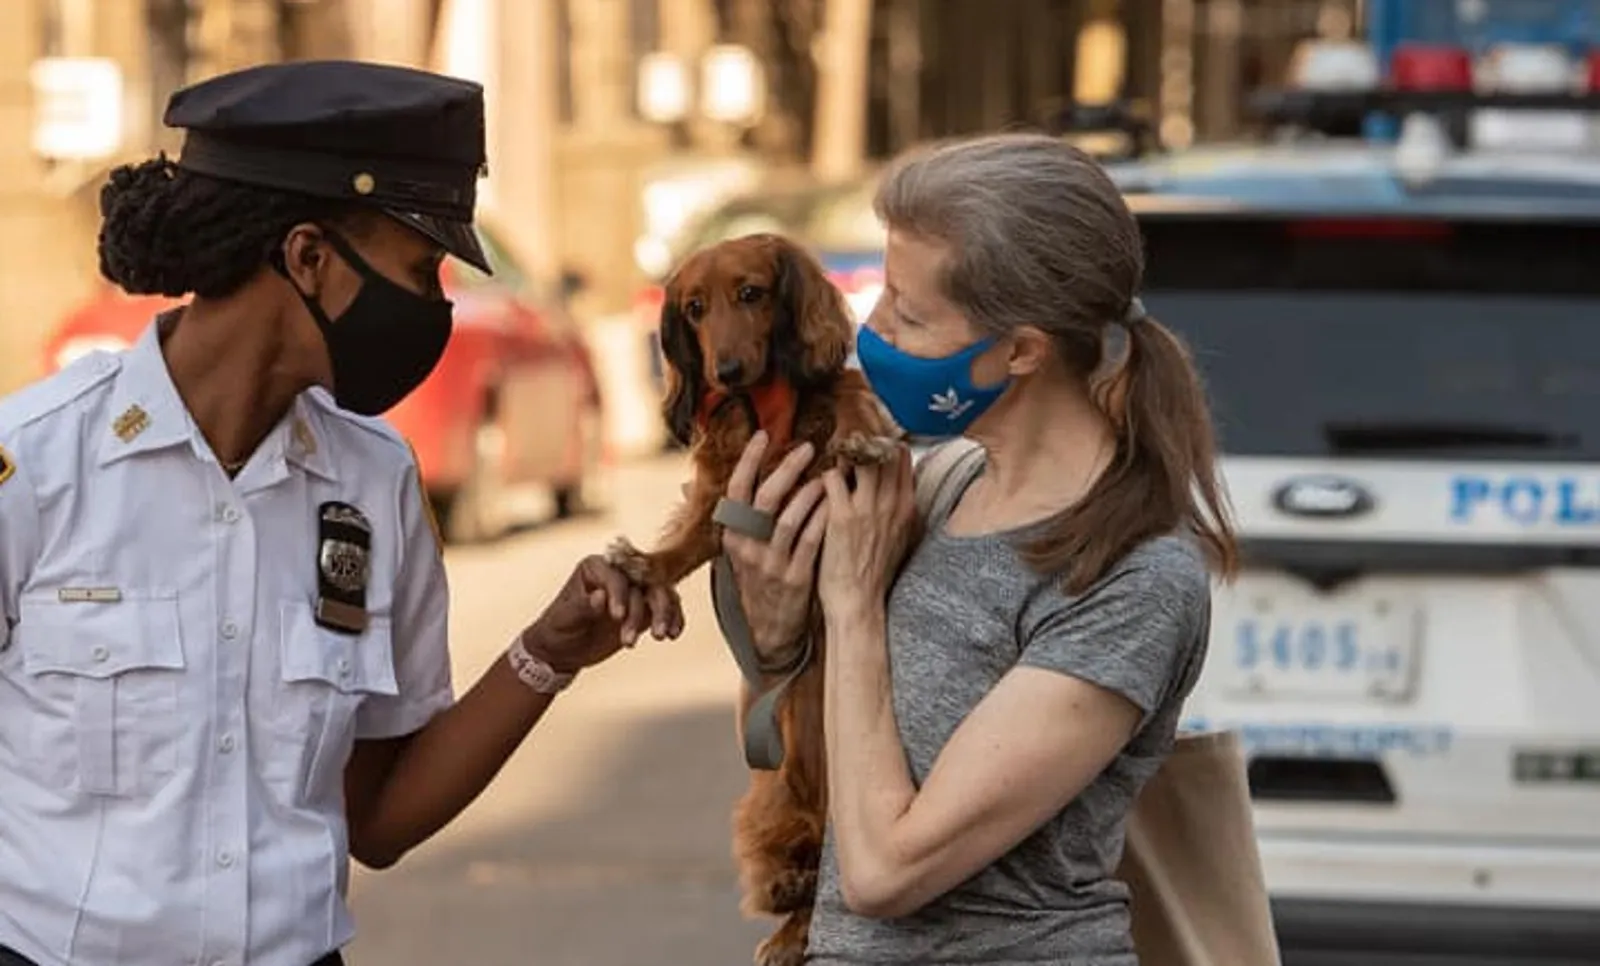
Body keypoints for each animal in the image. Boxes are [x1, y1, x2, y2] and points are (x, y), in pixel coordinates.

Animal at [604, 233, 902, 965]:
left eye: (751, 293)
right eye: (693, 308)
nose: (728, 370)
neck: (767, 406)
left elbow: (851, 409)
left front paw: (861, 439)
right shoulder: (726, 494)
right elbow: (688, 540)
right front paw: (646, 567)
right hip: (768, 798)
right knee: (798, 879)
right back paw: (789, 905)